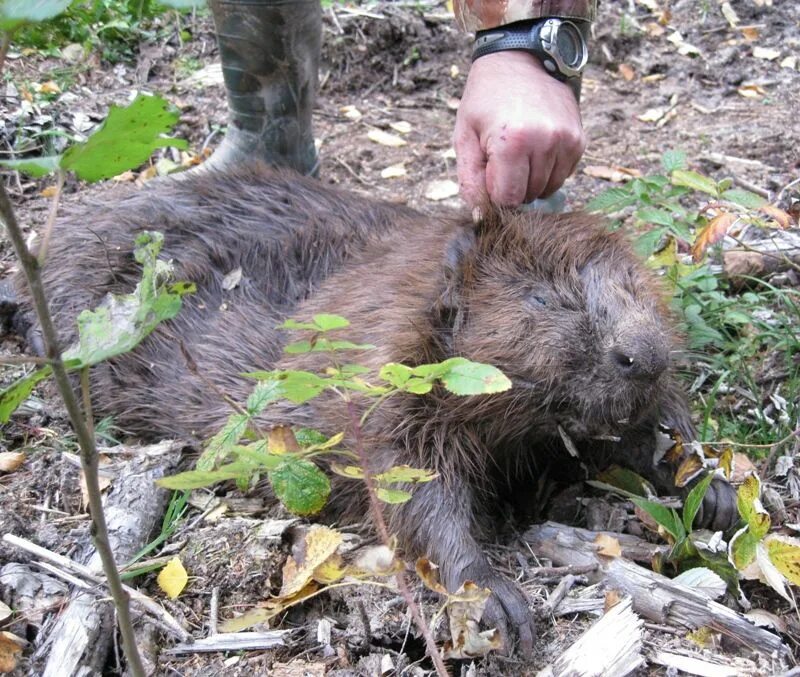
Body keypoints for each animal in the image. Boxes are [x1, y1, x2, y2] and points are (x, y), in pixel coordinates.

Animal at [18, 162, 736, 648]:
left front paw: (712, 488)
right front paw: (496, 598)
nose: (643, 353)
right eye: (545, 299)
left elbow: (629, 435)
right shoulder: (380, 385)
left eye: (633, 281)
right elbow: (412, 489)